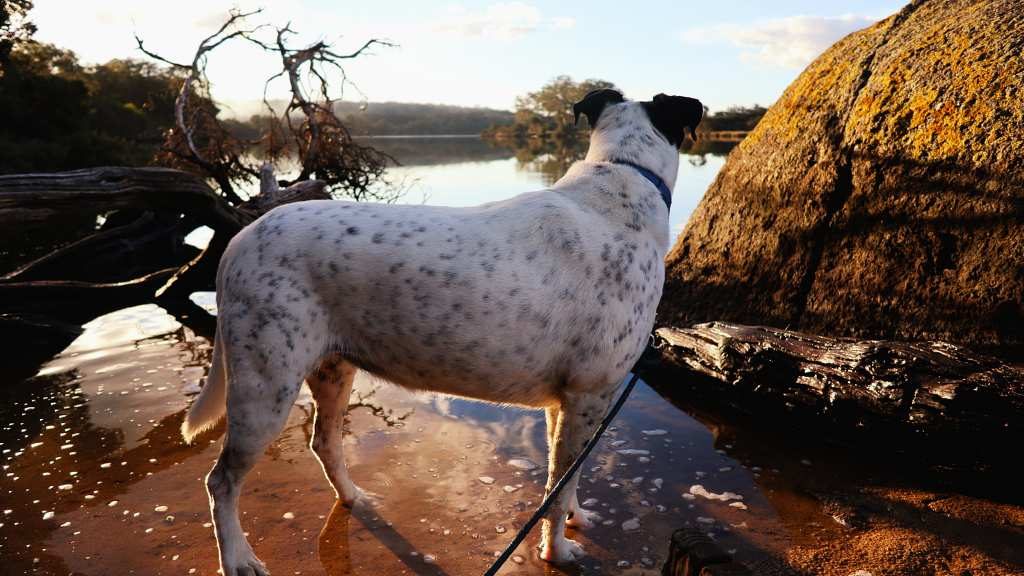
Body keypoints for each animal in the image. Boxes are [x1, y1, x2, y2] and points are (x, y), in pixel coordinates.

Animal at [180, 87, 700, 569]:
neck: (623, 175)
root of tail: (240, 239)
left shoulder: (567, 401)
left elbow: (565, 482)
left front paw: (573, 516)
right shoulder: (590, 392)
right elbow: (558, 487)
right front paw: (557, 551)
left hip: (332, 369)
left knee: (324, 442)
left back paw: (353, 498)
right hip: (265, 386)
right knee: (220, 482)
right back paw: (237, 559)